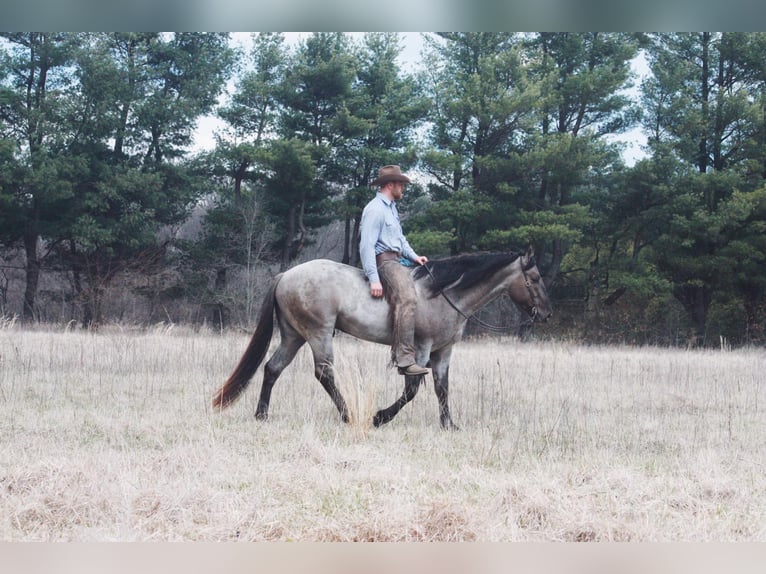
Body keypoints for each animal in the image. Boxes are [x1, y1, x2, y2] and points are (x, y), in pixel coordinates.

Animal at [213, 248, 556, 432]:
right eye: (535, 278)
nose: (546, 314)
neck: (444, 294)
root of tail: (286, 275)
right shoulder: (421, 349)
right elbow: (412, 388)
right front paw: (380, 417)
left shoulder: (444, 351)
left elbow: (442, 388)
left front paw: (449, 425)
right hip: (318, 333)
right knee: (324, 373)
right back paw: (349, 415)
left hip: (294, 335)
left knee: (272, 368)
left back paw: (262, 414)